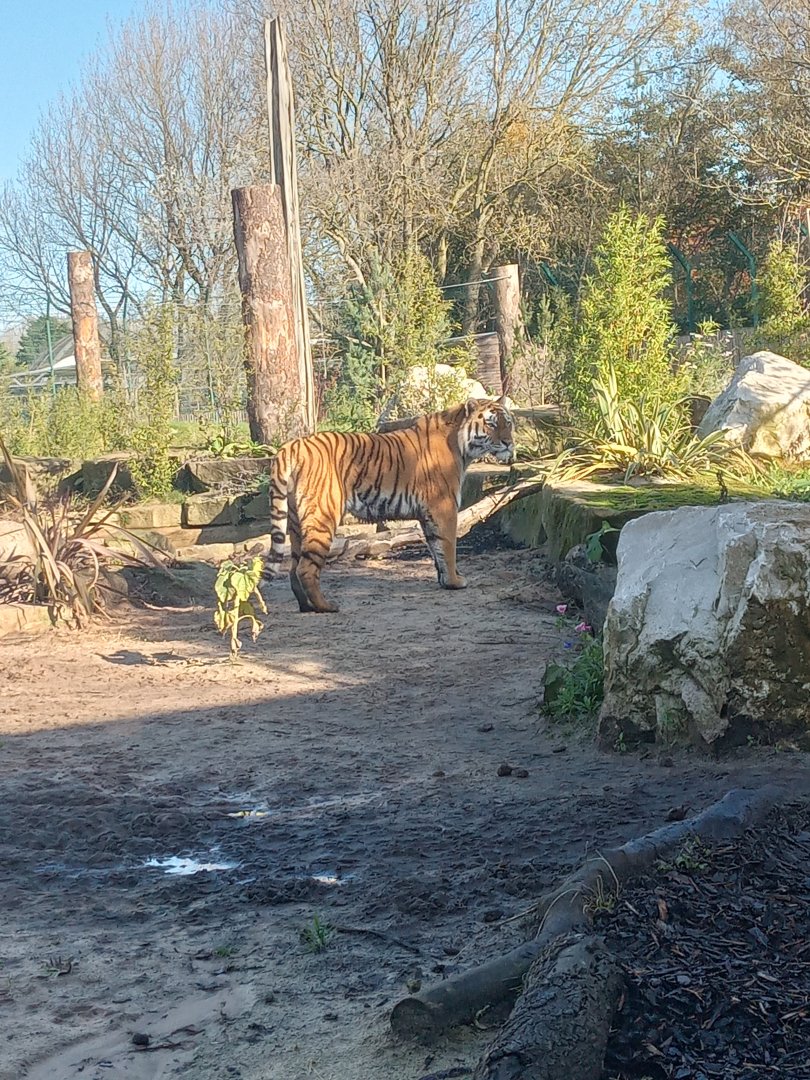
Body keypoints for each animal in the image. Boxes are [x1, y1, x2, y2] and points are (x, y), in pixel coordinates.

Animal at [267, 397, 515, 613]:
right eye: (491, 424)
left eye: (508, 423)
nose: (509, 443)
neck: (461, 445)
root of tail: (292, 445)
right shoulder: (444, 507)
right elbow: (448, 547)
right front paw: (455, 581)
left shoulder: (428, 514)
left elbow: (436, 549)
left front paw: (445, 580)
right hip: (322, 515)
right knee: (305, 568)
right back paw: (325, 606)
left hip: (296, 521)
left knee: (293, 568)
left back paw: (306, 606)